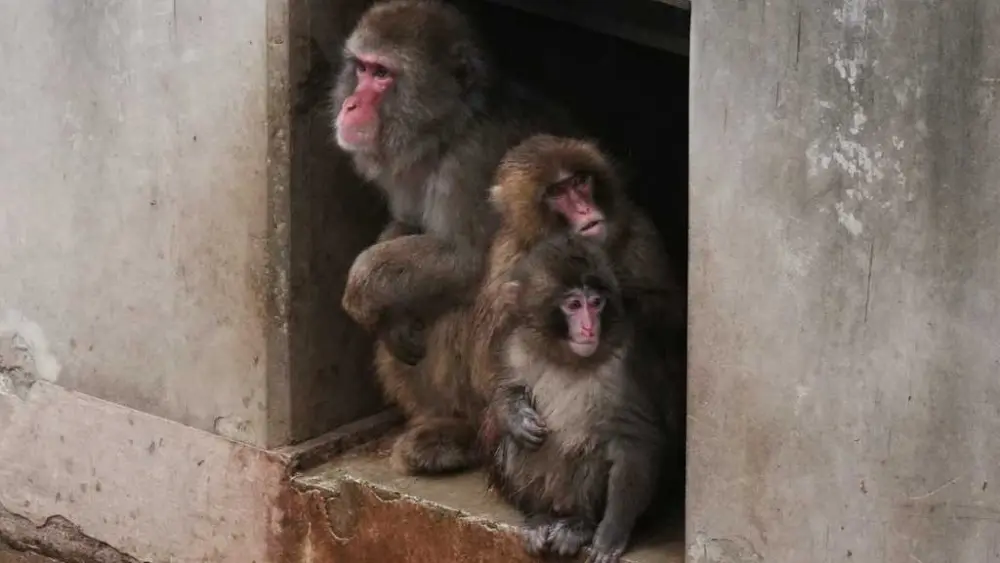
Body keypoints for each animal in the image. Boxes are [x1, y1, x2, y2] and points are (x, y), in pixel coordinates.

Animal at [330, 0, 579, 474]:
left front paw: (361, 288)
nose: (351, 104)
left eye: (382, 74)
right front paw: (390, 317)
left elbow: (469, 260)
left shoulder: (474, 164)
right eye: (362, 68)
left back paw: (467, 435)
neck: (448, 132)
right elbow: (408, 227)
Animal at [479, 233, 666, 563]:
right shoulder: (516, 345)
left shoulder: (624, 364)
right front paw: (515, 416)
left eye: (596, 303)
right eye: (574, 305)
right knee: (515, 445)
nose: (589, 327)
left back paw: (580, 524)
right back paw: (540, 516)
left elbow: (635, 440)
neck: (566, 356)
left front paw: (612, 533)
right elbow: (500, 391)